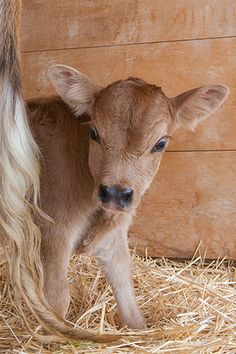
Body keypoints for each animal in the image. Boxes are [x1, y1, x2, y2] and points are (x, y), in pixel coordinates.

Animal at [27, 65, 229, 330]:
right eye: (94, 132)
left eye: (160, 143)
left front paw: (139, 329)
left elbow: (125, 288)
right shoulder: (53, 231)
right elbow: (57, 300)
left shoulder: (114, 234)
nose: (114, 193)